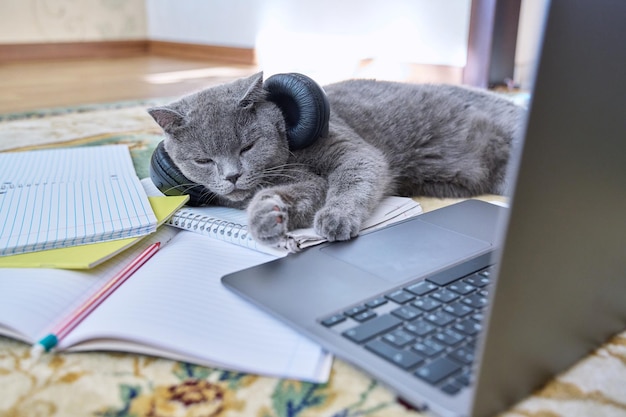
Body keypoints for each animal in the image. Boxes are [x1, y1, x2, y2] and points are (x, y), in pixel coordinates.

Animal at [149, 72, 524, 247]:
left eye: (247, 147)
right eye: (203, 161)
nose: (232, 176)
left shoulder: (353, 150)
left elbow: (352, 179)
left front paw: (336, 218)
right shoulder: (303, 183)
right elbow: (301, 192)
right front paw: (266, 217)